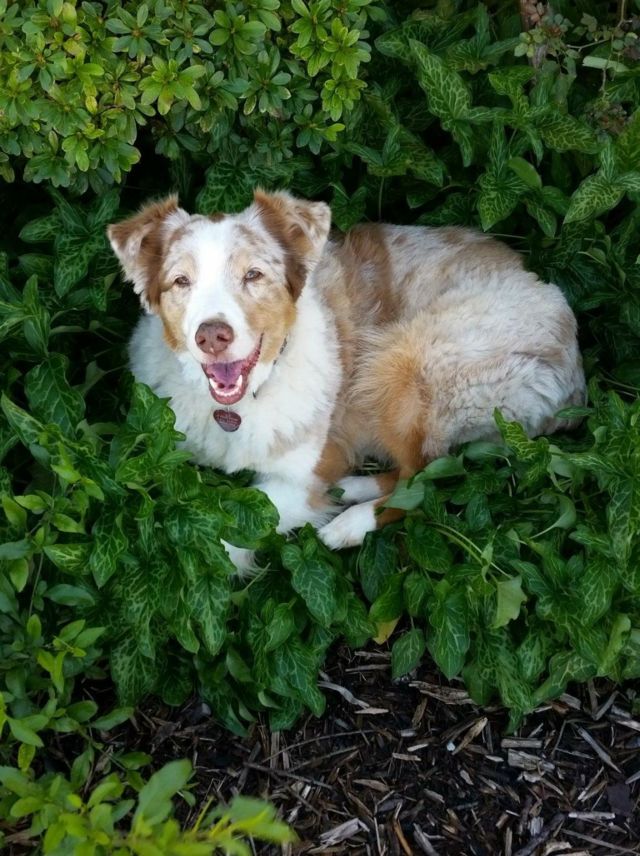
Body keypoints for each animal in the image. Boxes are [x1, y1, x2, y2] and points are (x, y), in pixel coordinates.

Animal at [108, 190, 584, 569]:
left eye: (253, 275)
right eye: (180, 281)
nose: (211, 335)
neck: (238, 406)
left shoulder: (305, 474)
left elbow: (232, 537)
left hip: (402, 358)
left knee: (425, 480)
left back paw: (350, 522)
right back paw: (354, 489)